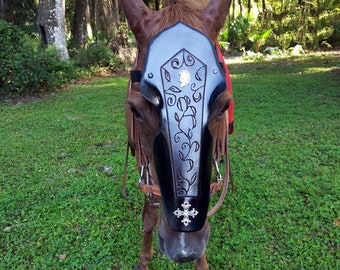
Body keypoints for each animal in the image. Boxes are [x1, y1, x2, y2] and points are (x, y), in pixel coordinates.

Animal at [119, 1, 234, 268]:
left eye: (224, 106)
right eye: (135, 110)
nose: (184, 249)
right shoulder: (144, 160)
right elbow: (150, 211)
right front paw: (144, 258)